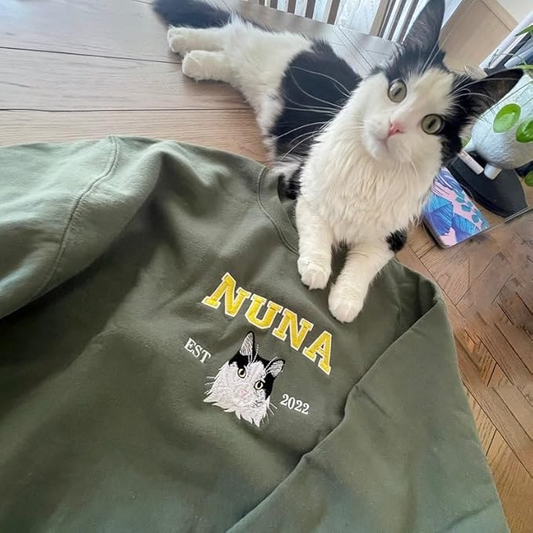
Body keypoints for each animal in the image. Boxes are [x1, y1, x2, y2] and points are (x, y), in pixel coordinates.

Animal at [154, 0, 522, 323]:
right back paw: (183, 40)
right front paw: (316, 269)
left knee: (229, 54)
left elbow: (363, 266)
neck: (371, 170)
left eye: (432, 124)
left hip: (249, 74)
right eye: (397, 91)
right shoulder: (303, 184)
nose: (394, 126)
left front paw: (346, 300)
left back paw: (192, 54)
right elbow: (318, 231)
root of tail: (313, 46)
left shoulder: (390, 236)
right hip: (260, 54)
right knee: (232, 31)